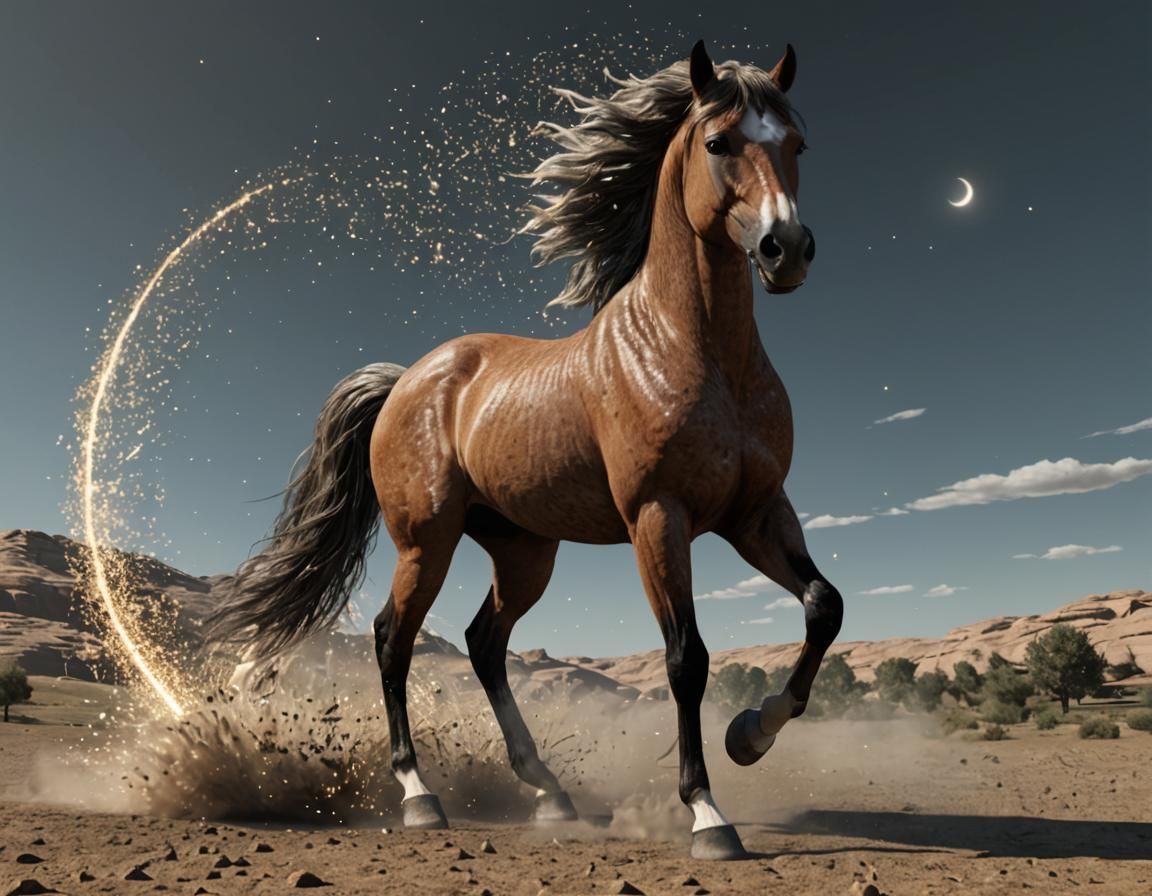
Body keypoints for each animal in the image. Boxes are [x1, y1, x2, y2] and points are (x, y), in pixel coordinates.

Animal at [209, 40, 843, 861]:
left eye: (796, 145)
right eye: (718, 142)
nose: (785, 249)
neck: (699, 352)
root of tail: (405, 379)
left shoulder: (756, 513)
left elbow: (824, 607)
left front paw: (750, 735)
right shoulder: (657, 517)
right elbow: (687, 657)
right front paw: (708, 814)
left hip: (523, 551)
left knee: (483, 642)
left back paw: (549, 792)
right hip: (428, 541)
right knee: (391, 640)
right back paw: (420, 797)